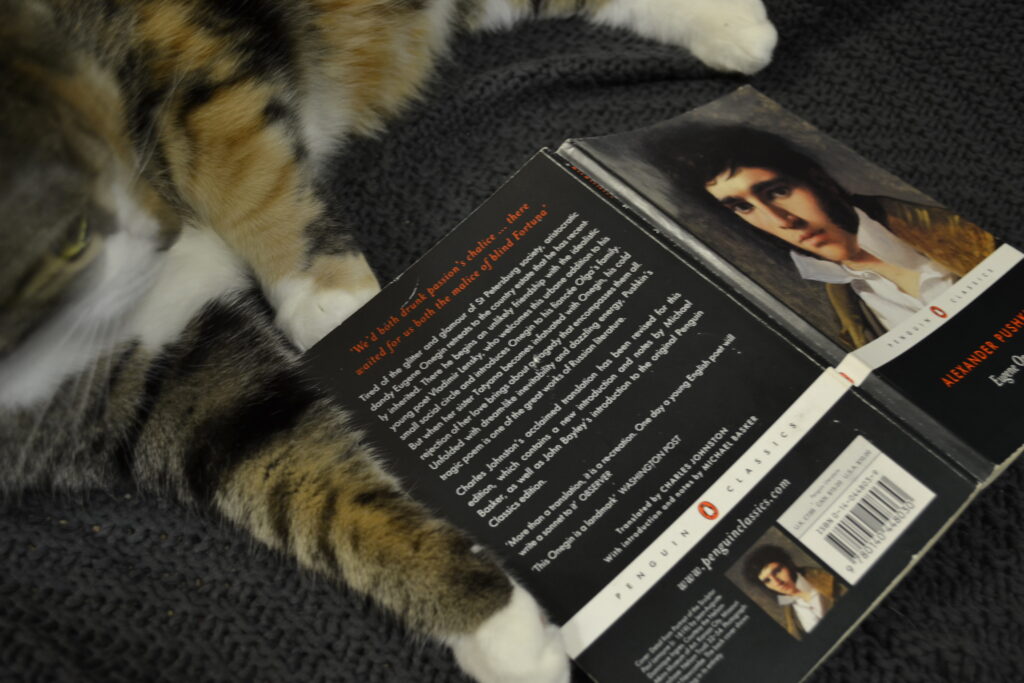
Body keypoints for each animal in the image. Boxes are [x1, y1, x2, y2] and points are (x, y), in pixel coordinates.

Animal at [0, 2, 770, 679]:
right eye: (70, 238)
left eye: (108, 127)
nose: (164, 229)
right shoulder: (155, 389)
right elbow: (309, 485)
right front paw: (495, 626)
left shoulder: (173, 49)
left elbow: (244, 171)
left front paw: (335, 305)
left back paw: (736, 26)